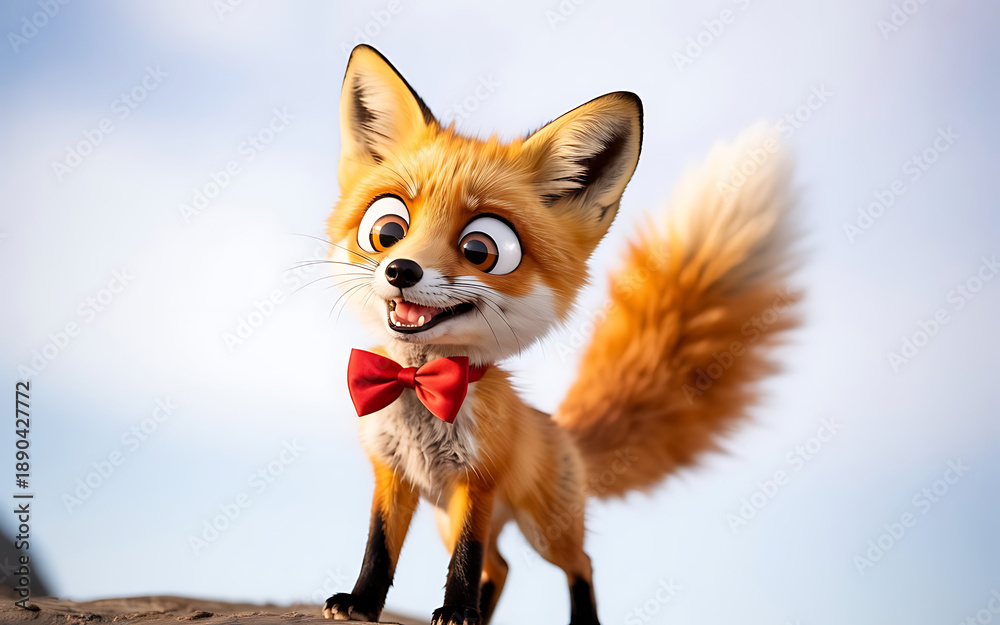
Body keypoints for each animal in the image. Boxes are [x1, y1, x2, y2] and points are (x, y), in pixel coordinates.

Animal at [320, 44, 800, 625]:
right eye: (387, 231)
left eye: (481, 248)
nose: (401, 270)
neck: (418, 384)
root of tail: (561, 430)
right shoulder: (393, 475)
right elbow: (380, 545)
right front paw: (361, 602)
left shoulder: (478, 483)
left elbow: (466, 559)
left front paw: (457, 612)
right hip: (448, 517)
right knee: (502, 567)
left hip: (543, 528)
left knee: (577, 563)